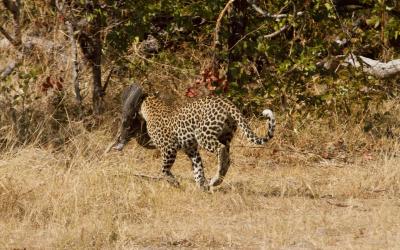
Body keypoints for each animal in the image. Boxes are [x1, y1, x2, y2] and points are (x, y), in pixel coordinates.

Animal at [111, 84, 276, 191]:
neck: (152, 107)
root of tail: (227, 103)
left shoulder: (169, 148)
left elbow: (163, 169)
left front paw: (175, 183)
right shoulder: (191, 149)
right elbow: (198, 168)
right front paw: (200, 185)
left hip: (203, 135)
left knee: (221, 150)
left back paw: (215, 179)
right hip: (225, 136)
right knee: (228, 157)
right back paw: (216, 180)